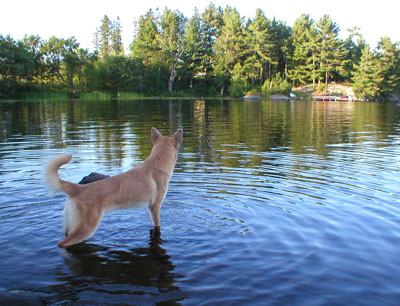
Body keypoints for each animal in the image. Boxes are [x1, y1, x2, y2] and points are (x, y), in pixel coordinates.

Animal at [46, 128, 183, 247]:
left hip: (72, 227)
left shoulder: (150, 207)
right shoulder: (155, 206)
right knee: (62, 244)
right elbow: (158, 225)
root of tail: (77, 188)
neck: (157, 164)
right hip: (86, 227)